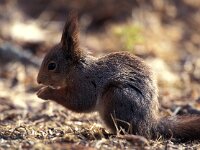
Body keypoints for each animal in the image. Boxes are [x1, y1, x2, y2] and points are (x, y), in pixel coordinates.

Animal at [36, 12, 200, 141]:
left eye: (52, 66)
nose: (38, 80)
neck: (76, 68)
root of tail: (149, 124)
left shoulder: (85, 84)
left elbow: (78, 101)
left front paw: (45, 92)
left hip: (116, 98)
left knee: (132, 131)